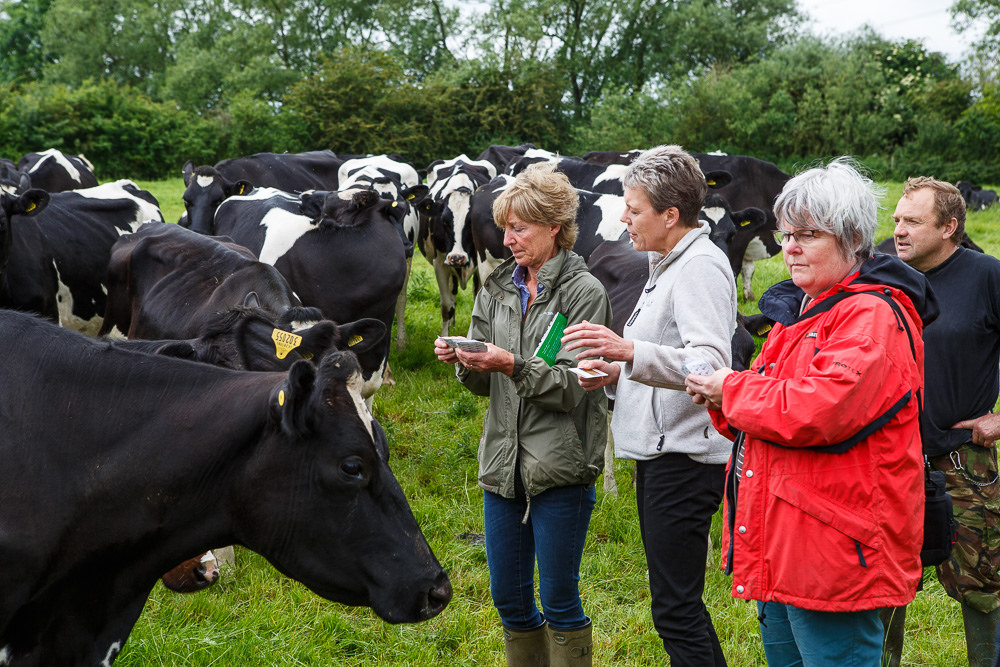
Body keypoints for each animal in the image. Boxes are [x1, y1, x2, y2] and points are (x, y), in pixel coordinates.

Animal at [420, 155, 498, 334]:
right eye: (444, 222)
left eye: (470, 223)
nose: (457, 258)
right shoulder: (440, 263)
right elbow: (446, 305)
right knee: (453, 292)